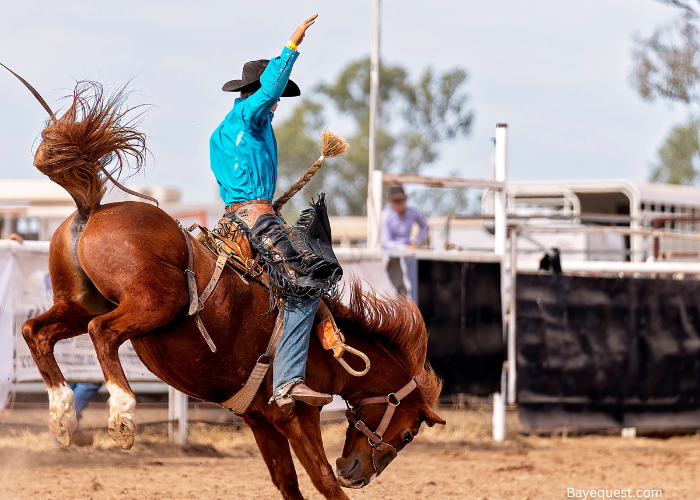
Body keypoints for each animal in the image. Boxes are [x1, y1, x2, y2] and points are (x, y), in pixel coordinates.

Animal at [8, 71, 446, 500]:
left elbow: (287, 482)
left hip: (81, 303)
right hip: (156, 301)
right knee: (102, 332)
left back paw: (62, 414)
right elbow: (323, 482)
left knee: (36, 331)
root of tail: (91, 210)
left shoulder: (259, 419)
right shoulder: (297, 414)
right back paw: (122, 414)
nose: (354, 471)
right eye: (408, 434)